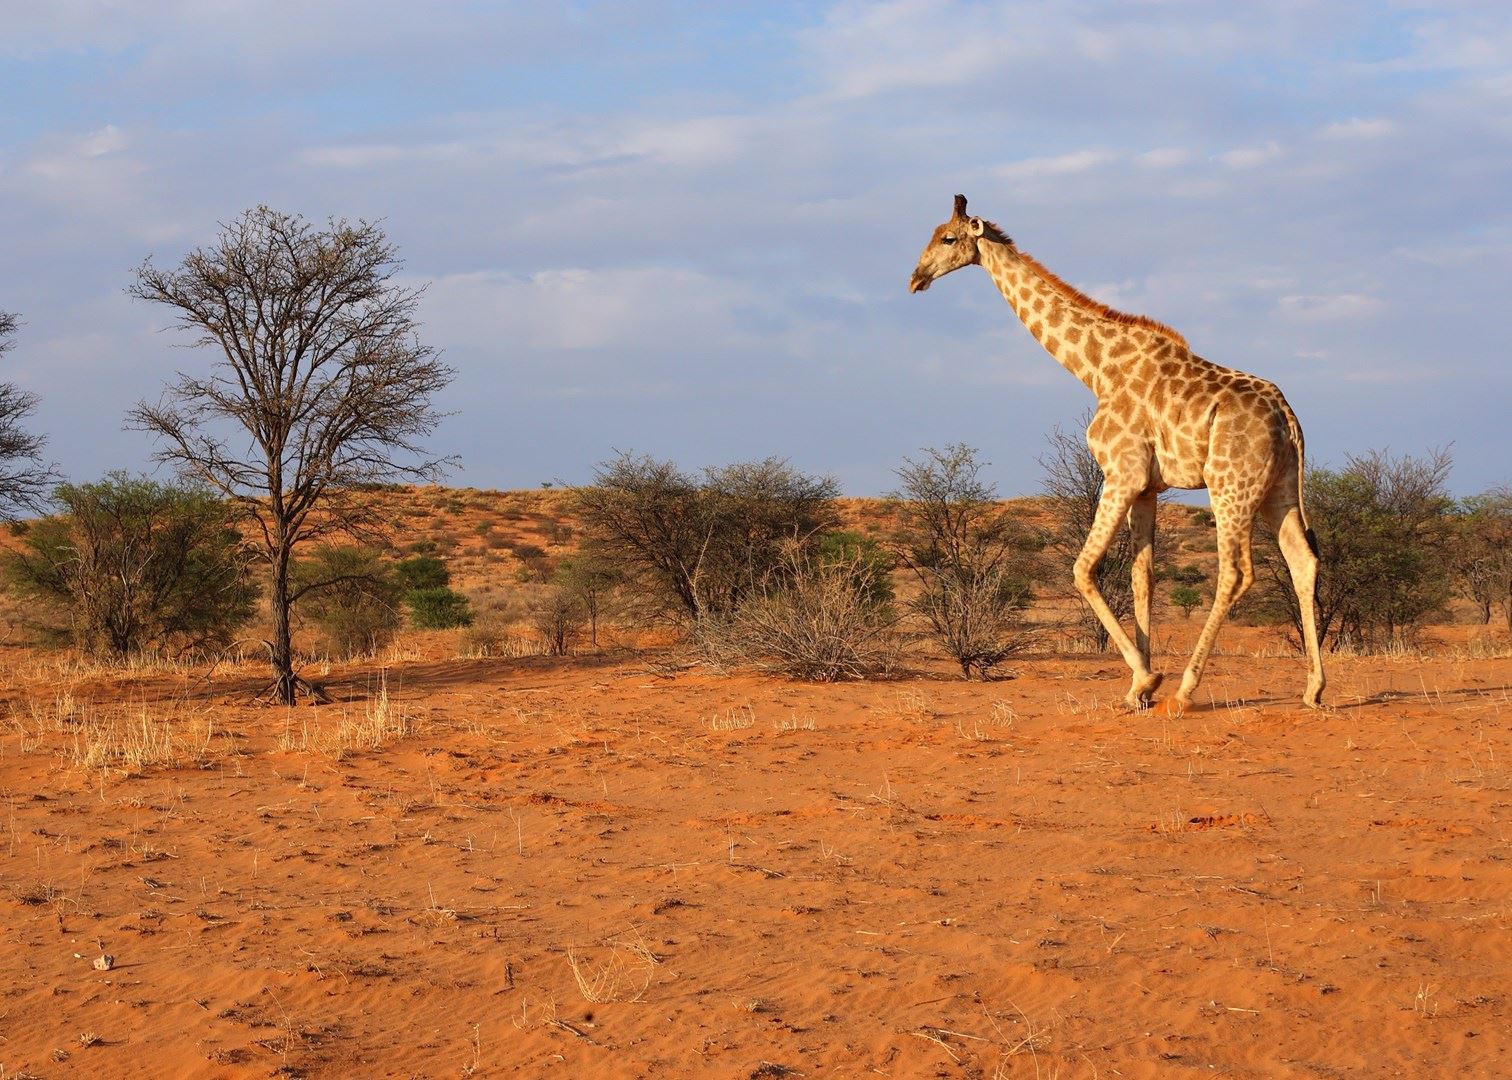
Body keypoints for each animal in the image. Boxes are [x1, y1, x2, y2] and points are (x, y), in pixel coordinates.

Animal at [907, 196, 1324, 710]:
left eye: (948, 238)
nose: (916, 277)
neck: (1096, 369)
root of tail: (1289, 419)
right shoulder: (1147, 487)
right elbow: (1142, 577)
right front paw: (1136, 690)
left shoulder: (1121, 473)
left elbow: (1084, 570)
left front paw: (1147, 679)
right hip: (1277, 488)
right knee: (1303, 560)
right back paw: (1314, 688)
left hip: (1230, 485)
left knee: (1236, 571)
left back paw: (1186, 689)